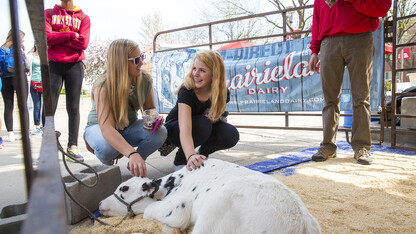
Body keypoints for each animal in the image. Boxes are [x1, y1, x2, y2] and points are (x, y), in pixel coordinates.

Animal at [99, 158, 320, 233]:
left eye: (123, 189)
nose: (100, 202)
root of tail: (301, 219)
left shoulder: (176, 209)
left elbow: (149, 212)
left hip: (214, 212)